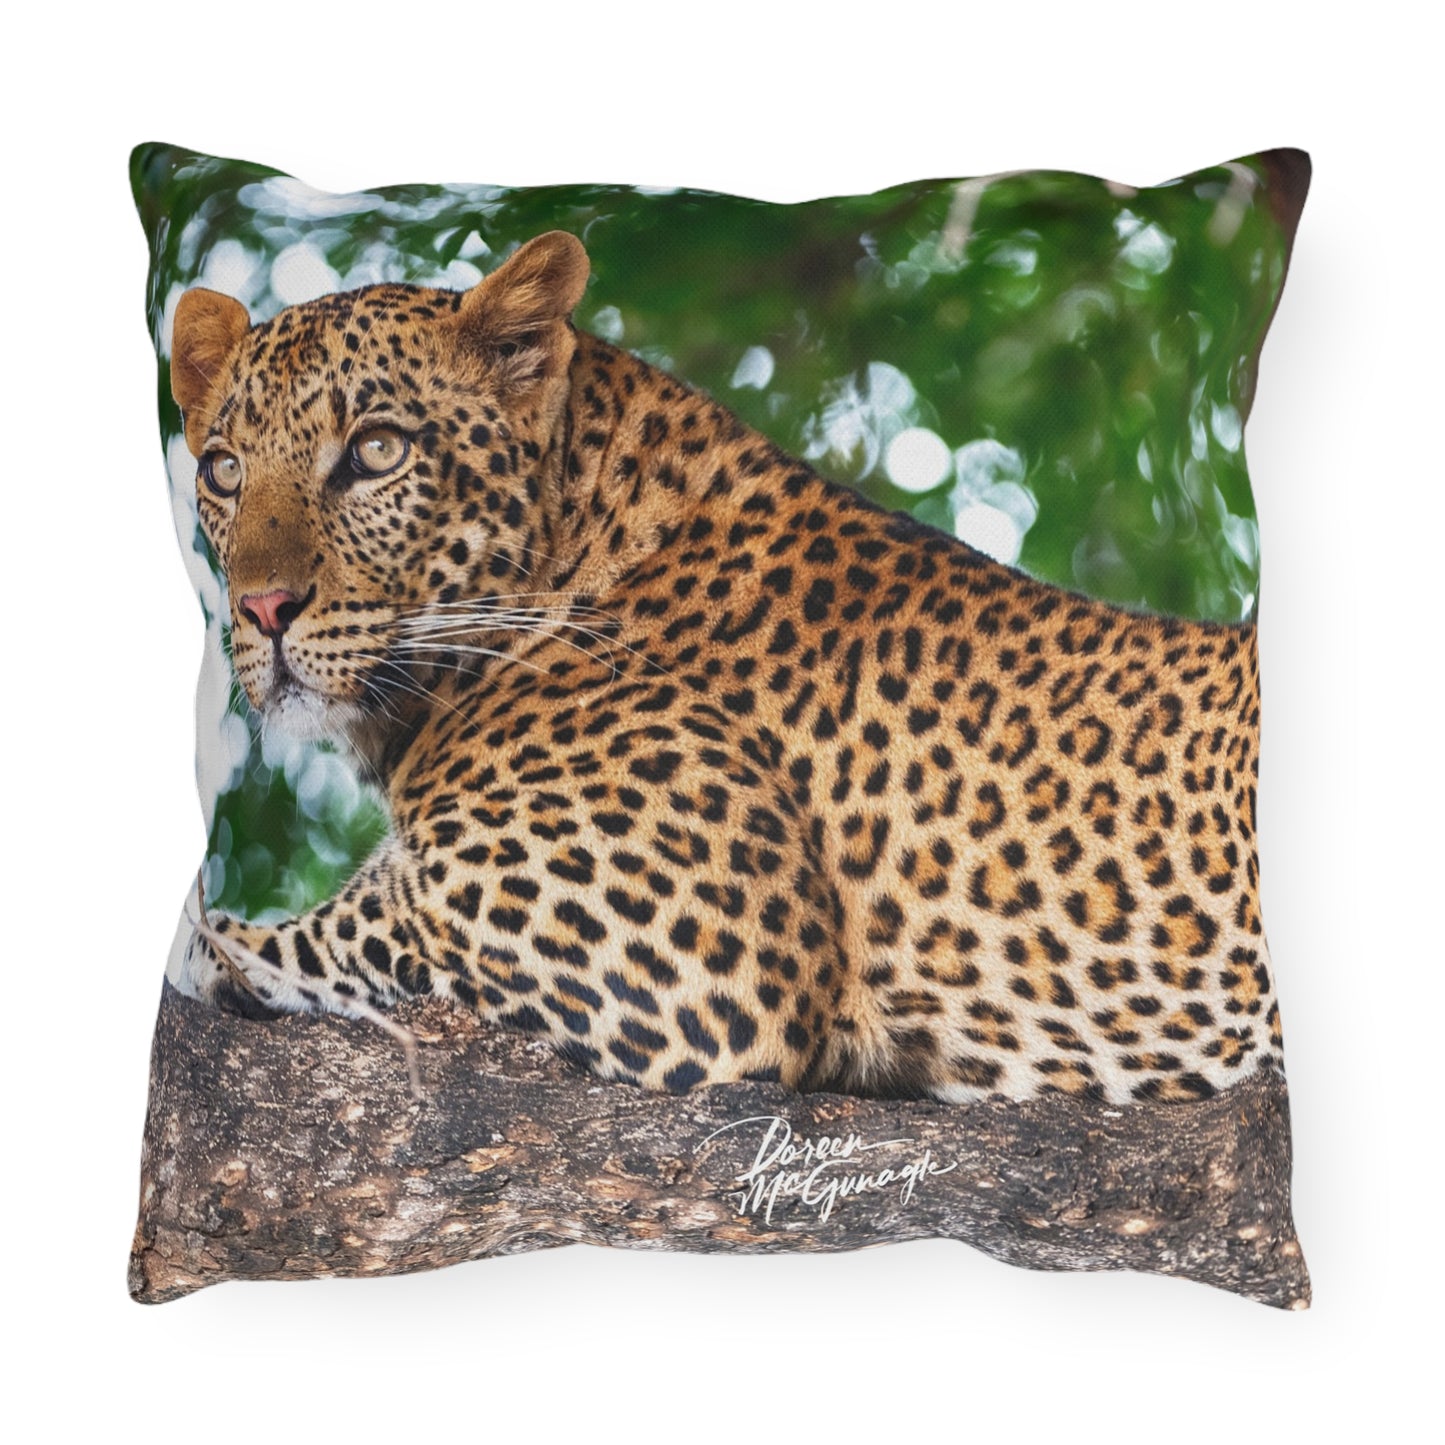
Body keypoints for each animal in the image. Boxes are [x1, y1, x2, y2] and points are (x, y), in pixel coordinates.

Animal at [170, 229, 1283, 1104]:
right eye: (222, 470)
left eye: (377, 451)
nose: (260, 609)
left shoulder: (685, 951)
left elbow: (286, 934)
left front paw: (207, 948)